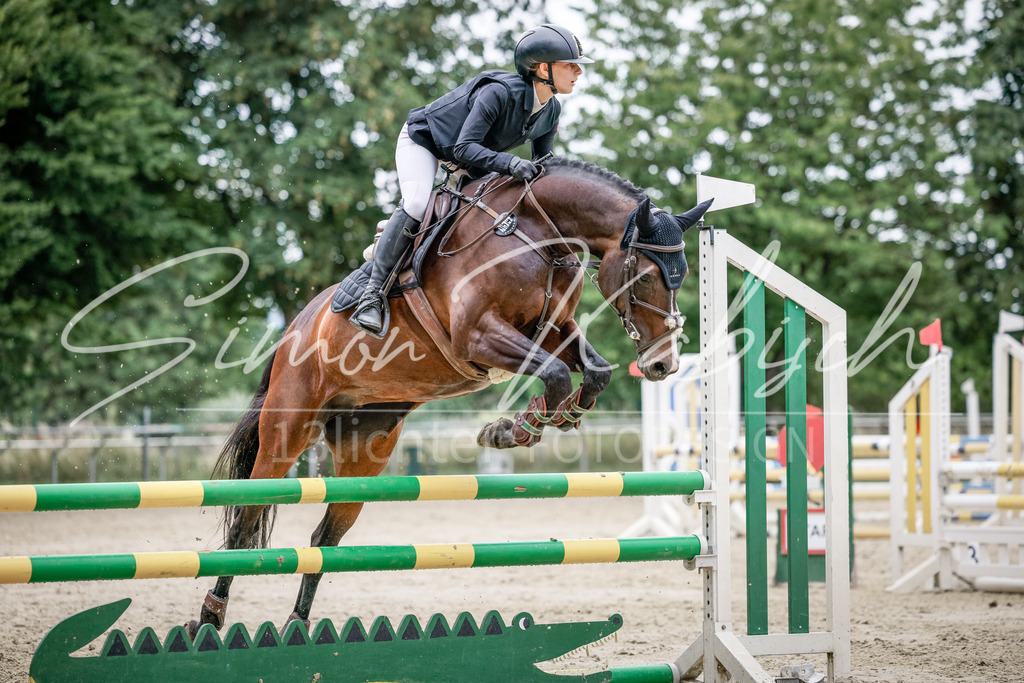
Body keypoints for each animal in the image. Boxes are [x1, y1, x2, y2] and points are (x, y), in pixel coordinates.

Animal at [187, 158, 711, 635]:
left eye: (684, 275)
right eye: (647, 276)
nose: (663, 365)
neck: (537, 233)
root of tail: (293, 330)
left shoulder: (553, 330)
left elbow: (593, 371)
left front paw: (545, 420)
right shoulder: (478, 337)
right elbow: (559, 373)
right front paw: (513, 431)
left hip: (365, 452)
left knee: (324, 536)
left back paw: (297, 625)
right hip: (286, 433)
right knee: (246, 520)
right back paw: (209, 619)